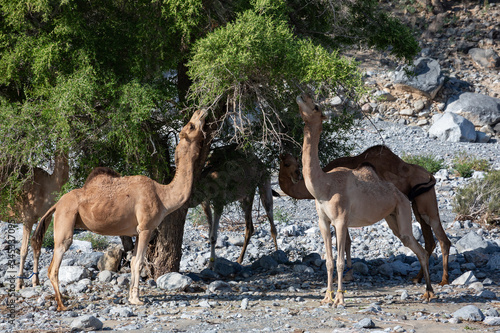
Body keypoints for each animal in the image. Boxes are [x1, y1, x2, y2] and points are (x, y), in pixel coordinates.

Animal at [0, 152, 69, 290]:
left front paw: (35, 281)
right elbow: (23, 250)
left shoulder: (46, 217)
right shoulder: (28, 216)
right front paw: (19, 284)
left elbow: (37, 248)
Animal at [31, 109, 207, 312]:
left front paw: (131, 297)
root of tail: (56, 204)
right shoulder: (146, 227)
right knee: (54, 265)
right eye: (191, 126)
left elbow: (133, 262)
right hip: (65, 219)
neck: (163, 196)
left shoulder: (137, 231)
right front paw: (137, 299)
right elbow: (139, 262)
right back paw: (62, 305)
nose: (201, 111)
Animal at [280, 145, 452, 286]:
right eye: (287, 163)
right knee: (430, 240)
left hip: (424, 203)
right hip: (417, 203)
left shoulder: (341, 213)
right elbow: (346, 242)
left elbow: (346, 242)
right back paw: (418, 278)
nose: (296, 174)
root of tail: (429, 175)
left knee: (441, 237)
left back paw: (443, 280)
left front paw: (345, 276)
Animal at [296, 93, 434, 306]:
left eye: (316, 106)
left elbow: (340, 261)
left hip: (403, 209)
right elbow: (328, 261)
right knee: (416, 247)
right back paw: (428, 292)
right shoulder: (323, 221)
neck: (324, 186)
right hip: (392, 217)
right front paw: (326, 297)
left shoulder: (341, 220)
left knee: (417, 246)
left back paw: (429, 292)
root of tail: (401, 194)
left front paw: (339, 299)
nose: (302, 96)